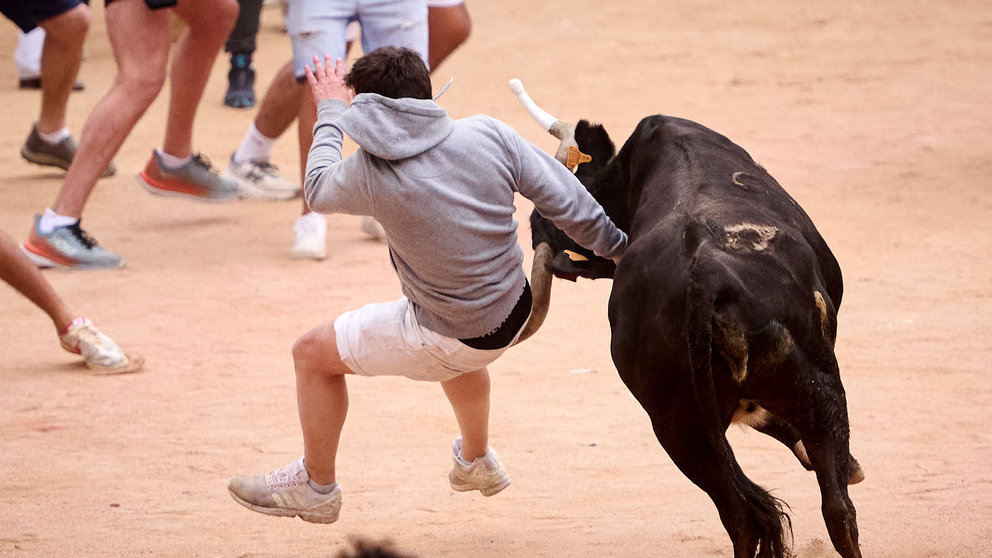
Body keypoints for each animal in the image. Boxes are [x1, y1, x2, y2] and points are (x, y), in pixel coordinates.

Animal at [532, 118, 864, 558]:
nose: (544, 239)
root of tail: (705, 274)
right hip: (817, 386)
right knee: (836, 508)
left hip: (679, 428)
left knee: (743, 518)